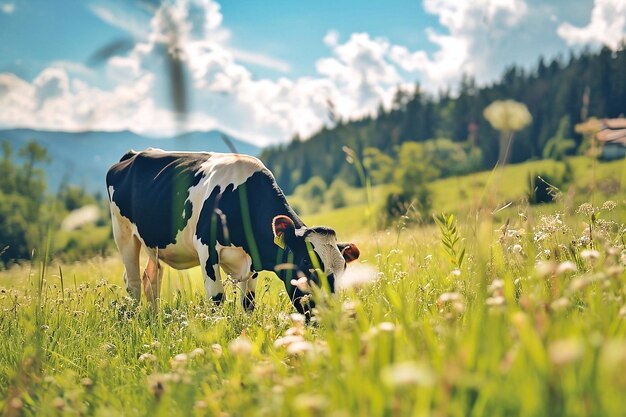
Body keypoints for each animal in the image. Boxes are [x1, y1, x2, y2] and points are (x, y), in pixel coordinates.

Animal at [105, 148, 358, 314]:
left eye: (344, 268)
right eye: (306, 261)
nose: (330, 313)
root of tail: (134, 154)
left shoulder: (251, 259)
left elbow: (248, 303)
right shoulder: (206, 248)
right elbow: (216, 299)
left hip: (154, 245)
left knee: (152, 278)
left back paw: (155, 316)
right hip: (123, 233)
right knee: (133, 282)